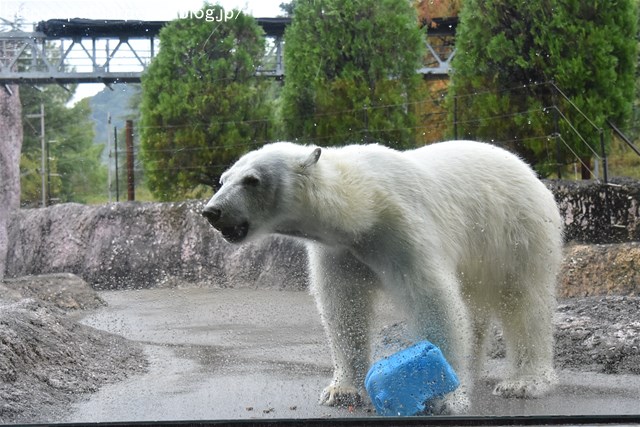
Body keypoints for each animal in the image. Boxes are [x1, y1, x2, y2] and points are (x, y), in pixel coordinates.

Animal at [202, 140, 564, 414]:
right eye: (223, 179)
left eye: (251, 180)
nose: (211, 211)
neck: (363, 204)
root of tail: (531, 173)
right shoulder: (340, 251)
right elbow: (344, 307)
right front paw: (342, 391)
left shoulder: (402, 229)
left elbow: (432, 301)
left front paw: (444, 396)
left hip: (514, 231)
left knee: (523, 302)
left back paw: (524, 382)